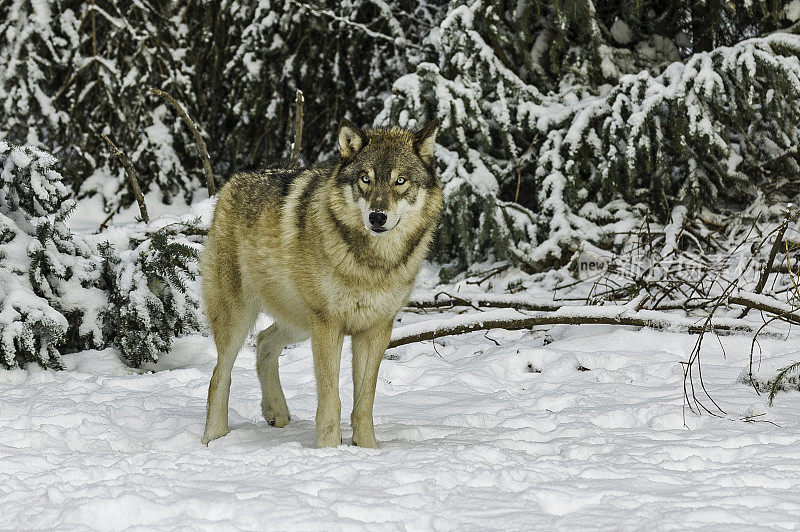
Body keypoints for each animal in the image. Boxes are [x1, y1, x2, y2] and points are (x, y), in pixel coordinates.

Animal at [197, 118, 440, 446]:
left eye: (400, 181)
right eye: (365, 179)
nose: (377, 217)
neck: (372, 264)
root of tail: (231, 183)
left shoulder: (376, 329)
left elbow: (364, 401)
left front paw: (368, 448)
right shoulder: (328, 324)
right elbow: (330, 399)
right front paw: (328, 448)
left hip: (300, 322)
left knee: (263, 341)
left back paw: (276, 411)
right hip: (243, 317)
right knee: (219, 375)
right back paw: (214, 437)